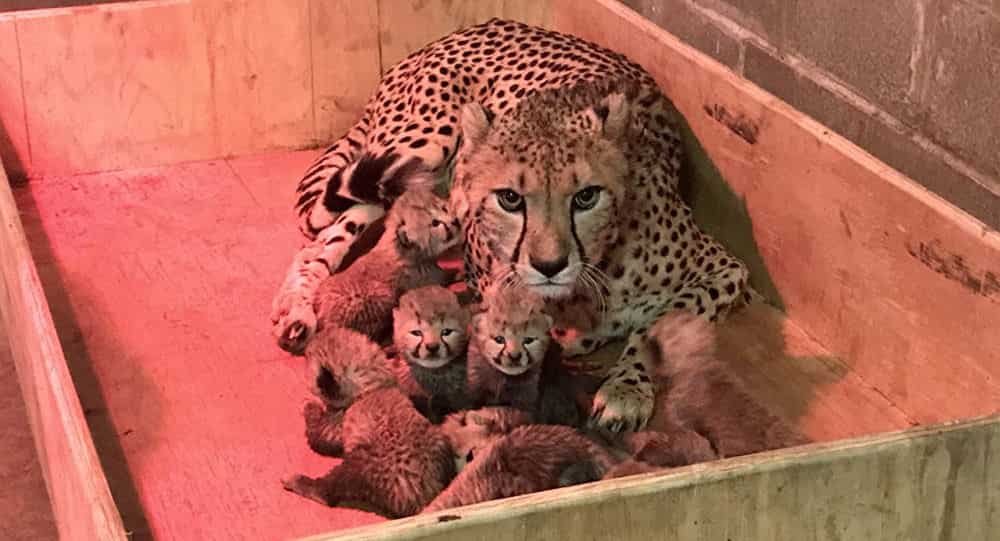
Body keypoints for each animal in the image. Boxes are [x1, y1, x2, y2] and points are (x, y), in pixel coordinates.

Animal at [269, 18, 749, 435]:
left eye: (586, 196)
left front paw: (624, 390)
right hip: (415, 150)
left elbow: (655, 327)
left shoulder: (725, 270)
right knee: (319, 242)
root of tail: (463, 31)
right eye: (510, 198)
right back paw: (296, 312)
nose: (549, 264)